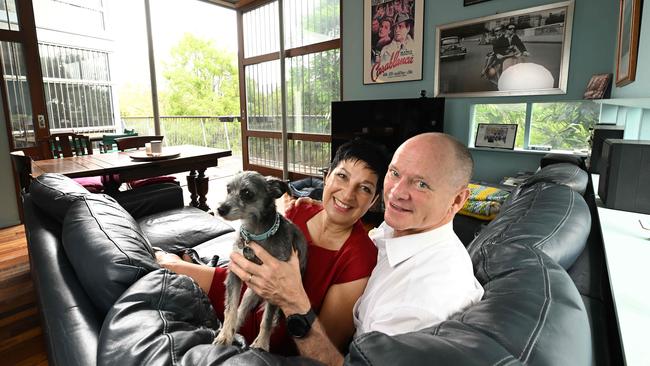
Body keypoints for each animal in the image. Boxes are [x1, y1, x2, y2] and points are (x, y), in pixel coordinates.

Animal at [210, 172, 306, 352]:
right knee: (241, 310)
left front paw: (261, 344)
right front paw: (225, 335)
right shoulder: (234, 273)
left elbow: (267, 319)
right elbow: (231, 308)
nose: (220, 209)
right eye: (228, 190)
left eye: (247, 193)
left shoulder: (276, 286)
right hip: (249, 294)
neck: (255, 234)